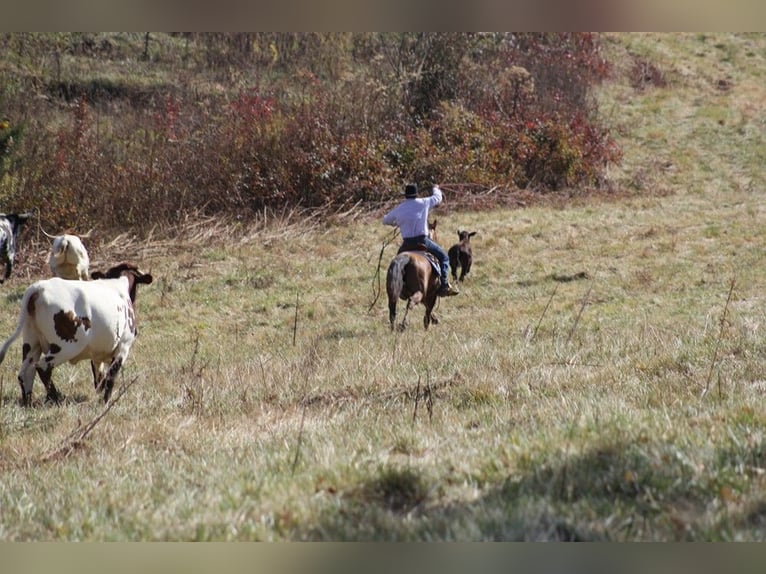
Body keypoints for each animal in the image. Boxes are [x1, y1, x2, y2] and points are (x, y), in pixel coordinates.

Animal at [0, 264, 154, 408]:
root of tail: (37, 288)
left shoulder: (97, 354)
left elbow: (99, 379)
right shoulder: (123, 347)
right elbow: (111, 377)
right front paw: (106, 402)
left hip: (32, 343)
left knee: (25, 372)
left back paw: (28, 402)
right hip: (66, 347)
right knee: (42, 367)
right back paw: (55, 398)